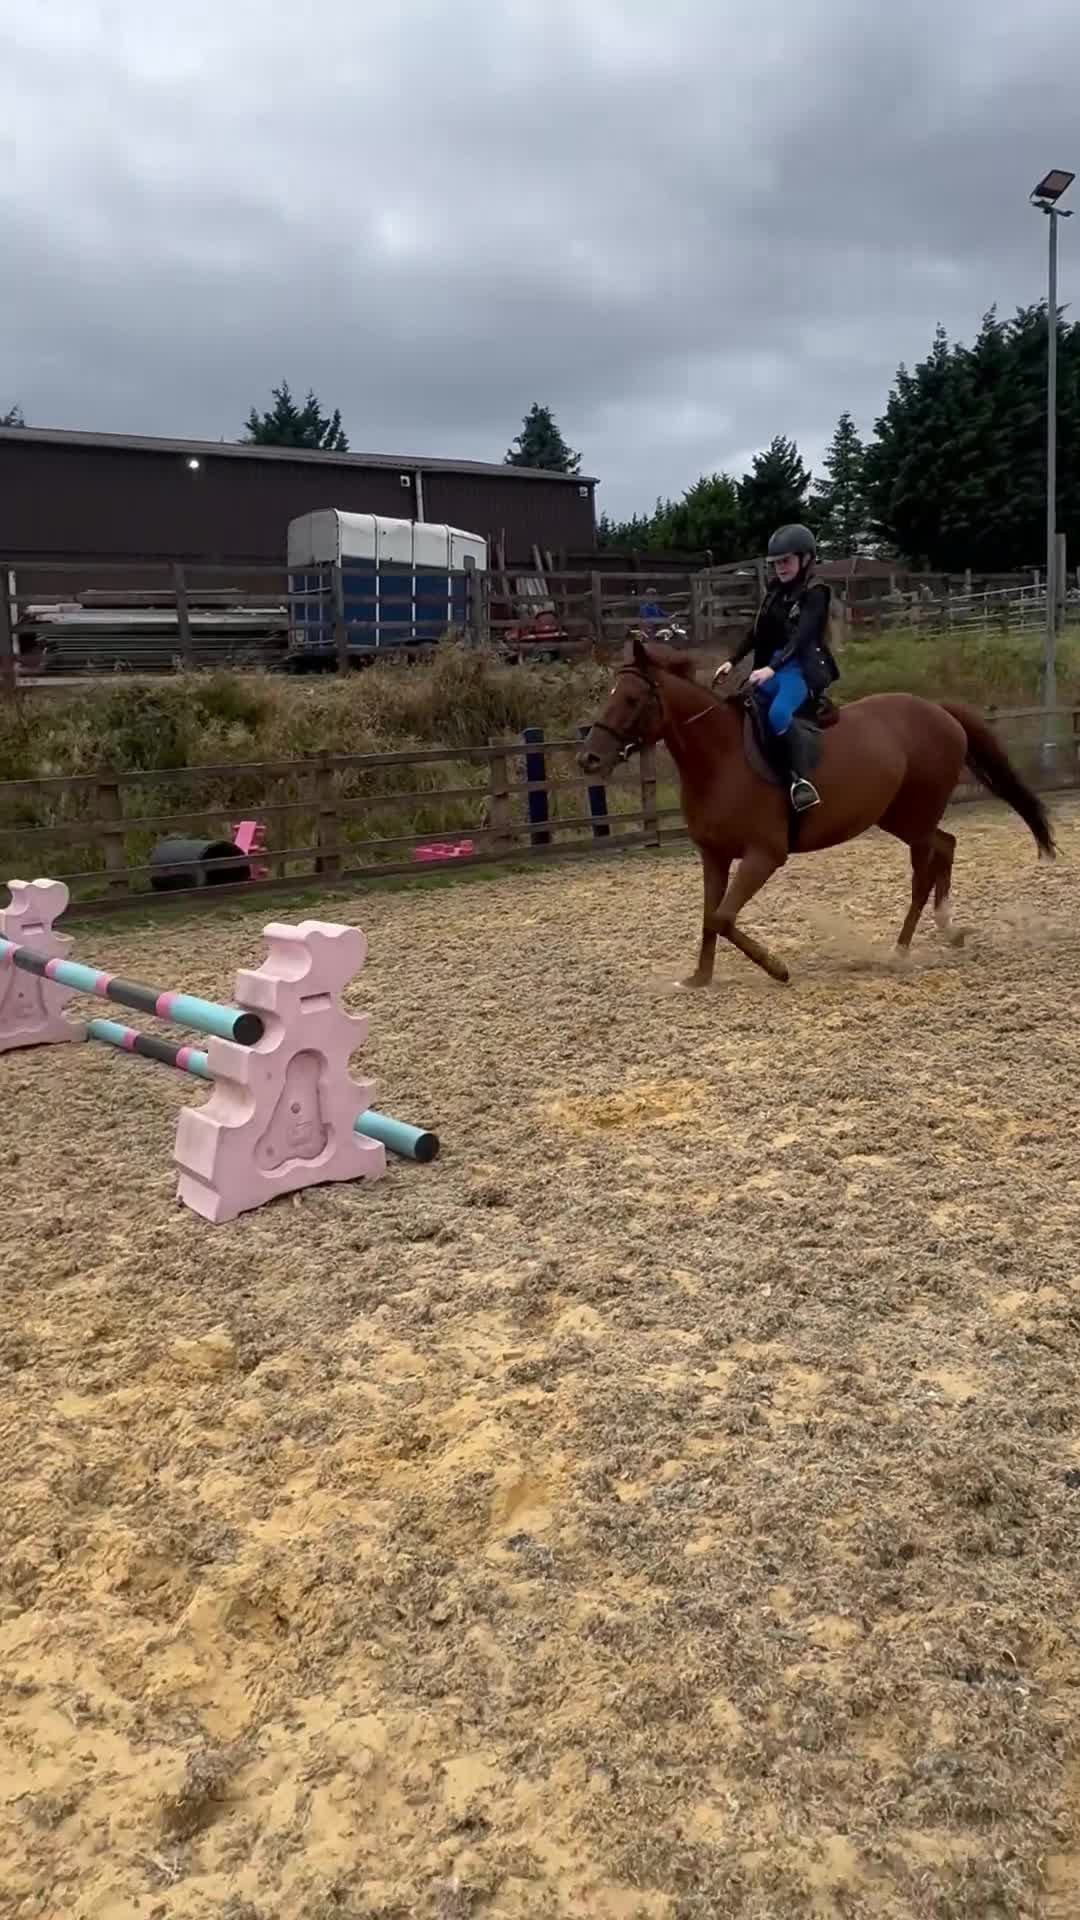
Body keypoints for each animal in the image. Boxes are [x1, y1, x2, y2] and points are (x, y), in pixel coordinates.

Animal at [577, 635, 1057, 986]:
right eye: (609, 695)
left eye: (633, 698)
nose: (589, 759)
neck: (720, 757)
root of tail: (939, 711)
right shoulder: (713, 856)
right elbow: (710, 918)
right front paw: (699, 978)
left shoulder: (764, 855)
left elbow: (724, 916)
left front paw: (776, 968)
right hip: (902, 817)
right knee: (946, 846)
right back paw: (949, 930)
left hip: (915, 817)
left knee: (924, 871)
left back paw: (900, 951)